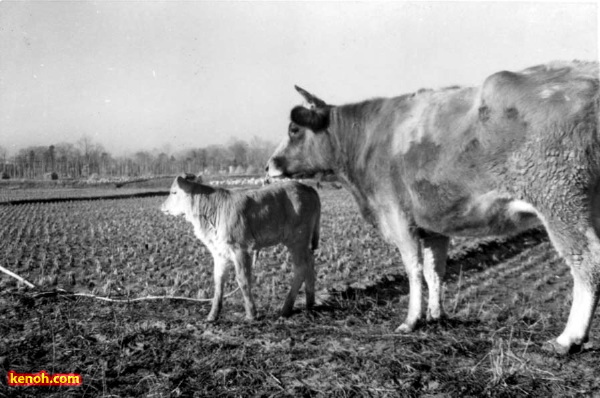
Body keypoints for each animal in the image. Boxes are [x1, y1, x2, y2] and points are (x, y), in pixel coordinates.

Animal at [159, 176, 318, 322]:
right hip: (302, 243)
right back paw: (309, 303)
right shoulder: (220, 252)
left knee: (301, 268)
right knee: (310, 262)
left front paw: (251, 314)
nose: (162, 207)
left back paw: (286, 308)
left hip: (297, 240)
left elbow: (243, 279)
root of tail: (307, 187)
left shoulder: (240, 248)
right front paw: (212, 315)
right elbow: (219, 281)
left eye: (173, 192)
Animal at [268, 61, 600, 354]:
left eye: (294, 129)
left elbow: (414, 271)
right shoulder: (433, 226)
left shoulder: (398, 218)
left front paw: (411, 320)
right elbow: (435, 271)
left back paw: (567, 339)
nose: (269, 164)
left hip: (561, 202)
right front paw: (436, 315)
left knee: (587, 262)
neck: (367, 139)